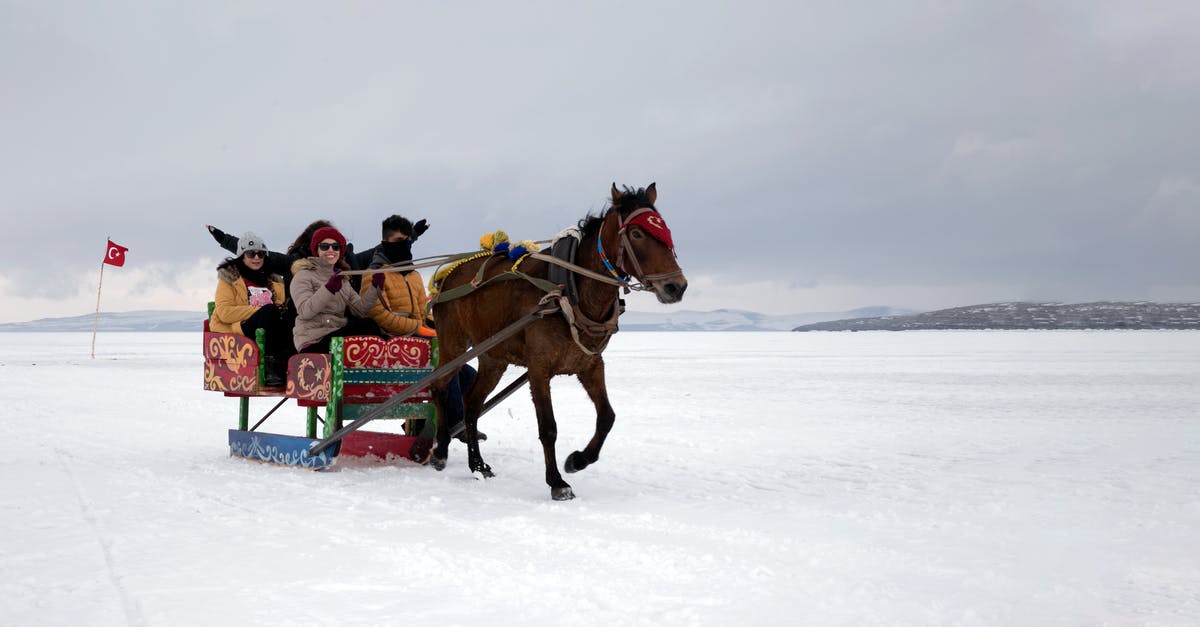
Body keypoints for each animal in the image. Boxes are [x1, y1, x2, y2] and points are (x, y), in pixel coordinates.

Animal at [427, 180, 686, 497]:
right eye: (637, 233)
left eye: (665, 229)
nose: (676, 286)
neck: (568, 291)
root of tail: (446, 278)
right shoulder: (539, 368)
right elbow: (548, 427)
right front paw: (557, 482)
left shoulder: (590, 364)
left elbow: (607, 417)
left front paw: (577, 460)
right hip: (453, 342)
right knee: (440, 386)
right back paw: (439, 452)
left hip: (493, 356)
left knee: (472, 403)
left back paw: (478, 465)